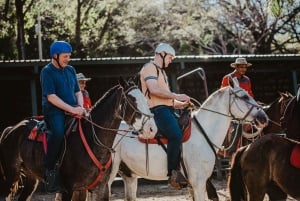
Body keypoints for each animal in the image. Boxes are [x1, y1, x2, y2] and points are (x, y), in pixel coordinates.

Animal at [0, 77, 156, 200]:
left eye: (144, 98)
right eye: (132, 100)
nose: (151, 128)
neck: (92, 141)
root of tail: (11, 129)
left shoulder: (99, 188)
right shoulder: (68, 189)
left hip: (31, 179)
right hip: (11, 177)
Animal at [105, 77, 268, 200]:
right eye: (245, 96)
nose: (263, 118)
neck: (204, 132)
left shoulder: (193, 185)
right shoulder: (199, 183)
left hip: (129, 176)